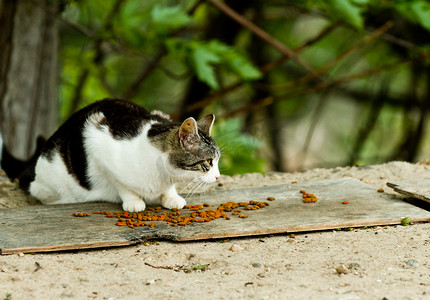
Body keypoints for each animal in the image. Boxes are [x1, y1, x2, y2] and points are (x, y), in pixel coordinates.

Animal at [1, 98, 220, 211]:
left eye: (218, 160)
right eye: (209, 162)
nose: (218, 176)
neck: (161, 174)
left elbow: (169, 188)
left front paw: (171, 197)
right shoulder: (96, 141)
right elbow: (121, 183)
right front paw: (133, 202)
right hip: (49, 186)